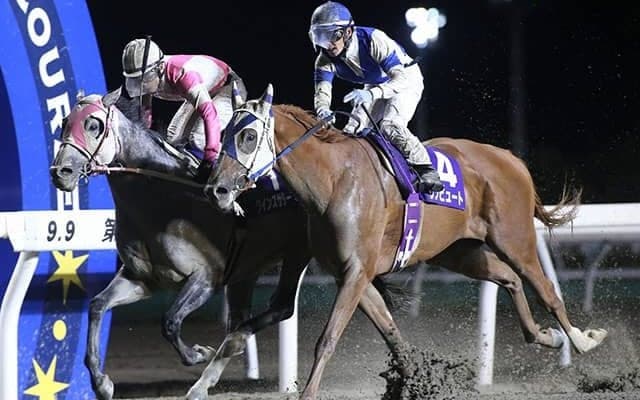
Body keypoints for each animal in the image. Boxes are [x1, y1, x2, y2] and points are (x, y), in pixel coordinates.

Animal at [49, 88, 311, 400]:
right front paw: (102, 383)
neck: (161, 196)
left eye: (93, 125)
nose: (60, 172)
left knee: (281, 307)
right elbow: (97, 305)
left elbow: (170, 322)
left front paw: (200, 353)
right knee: (241, 318)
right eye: (64, 123)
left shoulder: (206, 277)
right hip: (245, 271)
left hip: (297, 254)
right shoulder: (142, 278)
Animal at [201, 82, 608, 400]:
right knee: (508, 278)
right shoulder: (354, 275)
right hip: (458, 252)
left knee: (546, 290)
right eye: (223, 133)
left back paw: (582, 340)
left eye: (248, 136)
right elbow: (392, 334)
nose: (216, 189)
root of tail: (510, 158)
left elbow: (327, 338)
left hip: (515, 238)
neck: (334, 180)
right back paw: (547, 337)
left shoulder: (356, 271)